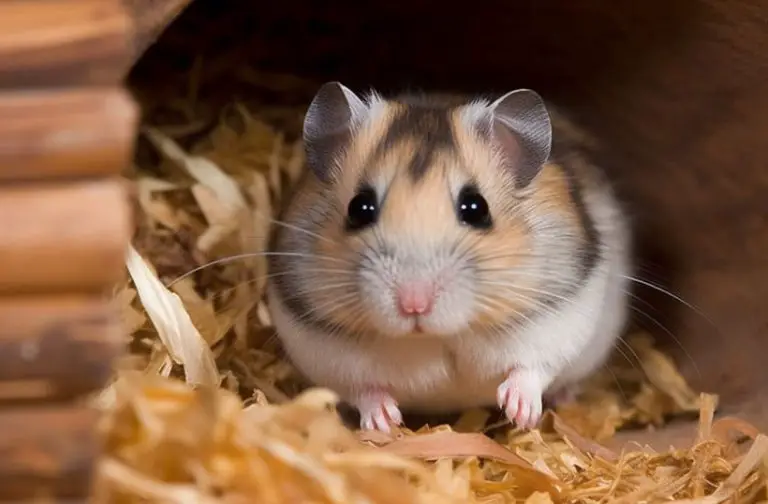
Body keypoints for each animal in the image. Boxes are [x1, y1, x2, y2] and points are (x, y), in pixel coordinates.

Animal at [267, 82, 631, 432]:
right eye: (360, 208)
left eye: (476, 208)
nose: (414, 305)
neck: (438, 336)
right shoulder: (325, 353)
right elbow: (362, 389)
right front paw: (383, 422)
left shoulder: (558, 324)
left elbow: (532, 368)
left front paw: (520, 414)